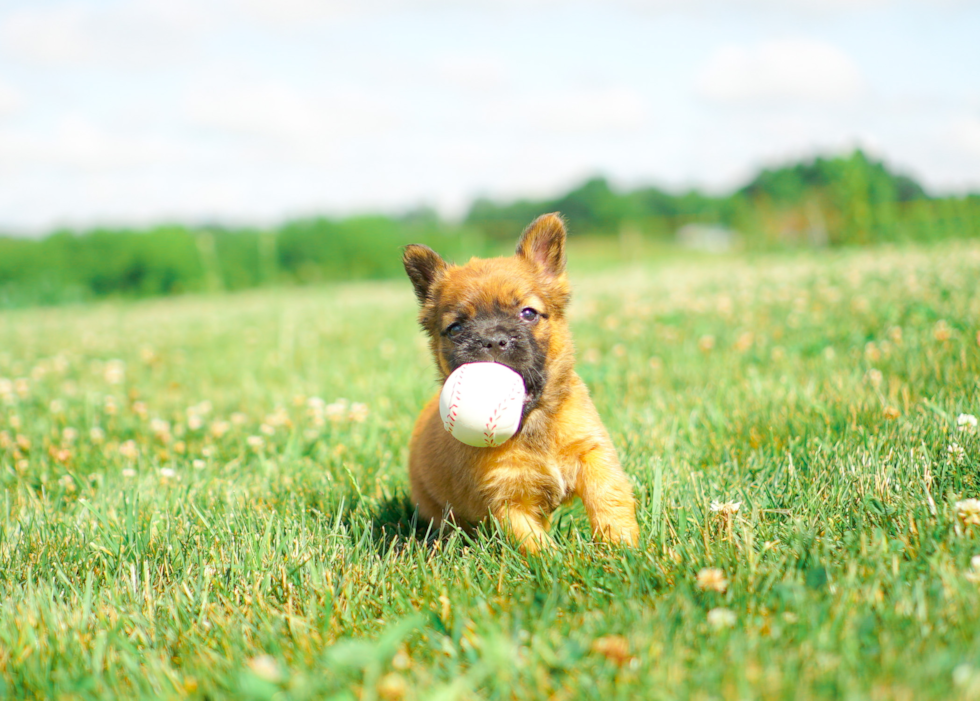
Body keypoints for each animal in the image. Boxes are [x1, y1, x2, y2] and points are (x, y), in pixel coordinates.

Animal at [402, 213, 640, 552]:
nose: (491, 340)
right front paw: (562, 561)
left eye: (528, 313)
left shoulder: (593, 454)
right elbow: (535, 545)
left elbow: (608, 497)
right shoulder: (507, 499)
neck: (533, 425)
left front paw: (621, 546)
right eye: (456, 328)